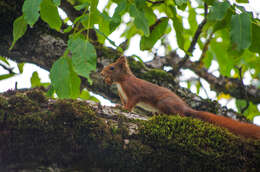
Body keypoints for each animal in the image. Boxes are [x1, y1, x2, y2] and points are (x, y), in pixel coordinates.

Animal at [100, 56, 260, 140]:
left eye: (112, 68)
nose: (101, 74)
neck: (121, 82)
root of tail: (185, 107)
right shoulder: (122, 95)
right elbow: (124, 103)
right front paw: (118, 106)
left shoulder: (134, 91)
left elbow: (132, 103)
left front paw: (125, 109)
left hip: (165, 103)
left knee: (181, 115)